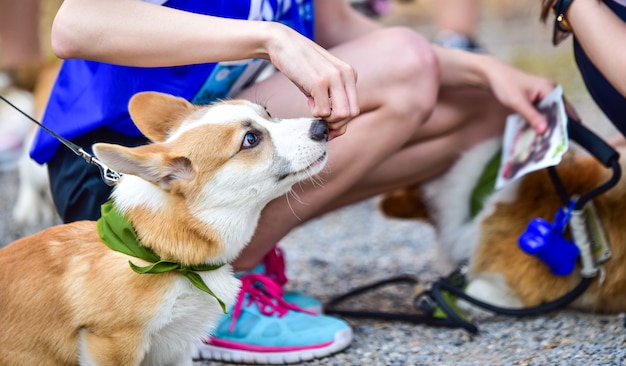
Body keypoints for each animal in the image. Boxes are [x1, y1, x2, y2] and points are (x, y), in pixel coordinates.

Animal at [0, 90, 330, 364]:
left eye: (268, 113)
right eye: (250, 139)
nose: (323, 127)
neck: (158, 254)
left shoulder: (178, 348)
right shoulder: (112, 341)